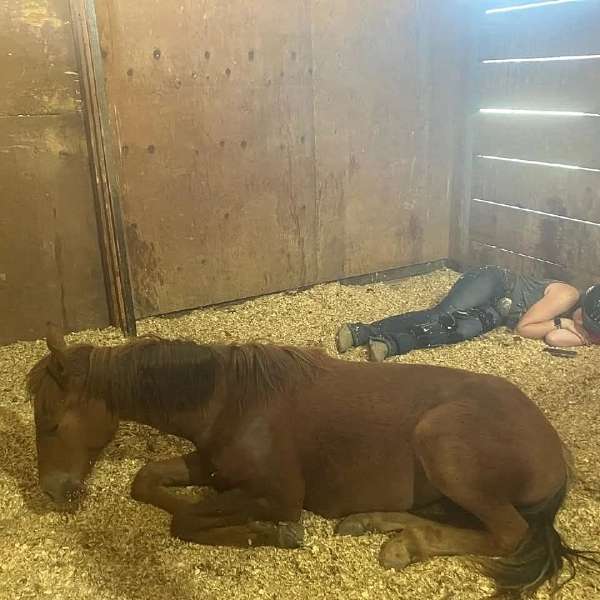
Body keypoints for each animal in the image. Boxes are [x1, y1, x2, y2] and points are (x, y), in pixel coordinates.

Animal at [28, 326, 596, 596]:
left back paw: (409, 545)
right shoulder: (208, 466)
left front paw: (266, 534)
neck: (231, 400)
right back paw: (376, 525)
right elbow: (147, 481)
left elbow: (187, 519)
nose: (51, 491)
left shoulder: (278, 495)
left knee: (506, 533)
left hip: (442, 445)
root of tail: (554, 449)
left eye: (52, 423)